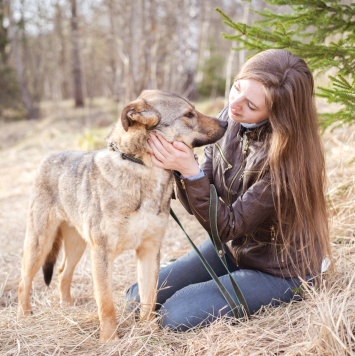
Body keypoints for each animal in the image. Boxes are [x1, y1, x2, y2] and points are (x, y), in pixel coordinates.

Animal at [17, 89, 228, 342]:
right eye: (189, 114)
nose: (227, 123)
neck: (143, 169)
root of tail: (48, 157)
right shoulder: (101, 253)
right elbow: (106, 303)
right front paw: (109, 340)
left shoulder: (149, 250)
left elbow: (148, 298)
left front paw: (150, 332)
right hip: (40, 244)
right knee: (24, 280)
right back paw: (24, 316)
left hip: (77, 244)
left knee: (61, 273)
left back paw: (67, 307)